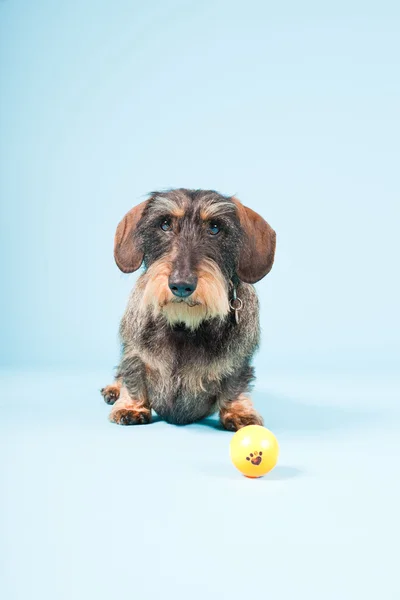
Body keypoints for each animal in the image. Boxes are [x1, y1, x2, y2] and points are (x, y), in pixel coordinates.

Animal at [101, 190, 276, 428]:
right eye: (165, 224)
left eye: (215, 228)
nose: (181, 285)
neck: (184, 325)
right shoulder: (135, 353)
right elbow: (133, 375)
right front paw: (131, 406)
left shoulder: (238, 361)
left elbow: (234, 386)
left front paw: (238, 411)